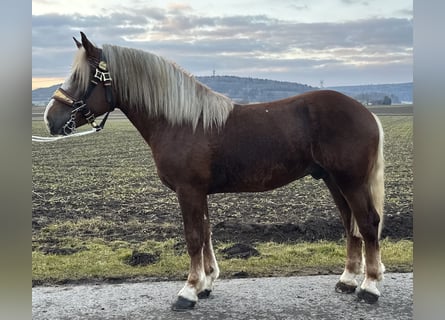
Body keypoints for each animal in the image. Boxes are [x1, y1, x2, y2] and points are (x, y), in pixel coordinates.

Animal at [43, 33, 384, 310]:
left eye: (81, 77)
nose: (50, 118)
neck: (181, 121)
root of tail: (367, 113)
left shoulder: (189, 190)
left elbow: (194, 236)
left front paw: (189, 291)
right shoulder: (199, 192)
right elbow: (206, 232)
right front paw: (206, 284)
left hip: (351, 181)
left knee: (367, 223)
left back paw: (369, 287)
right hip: (333, 181)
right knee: (350, 224)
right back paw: (347, 281)